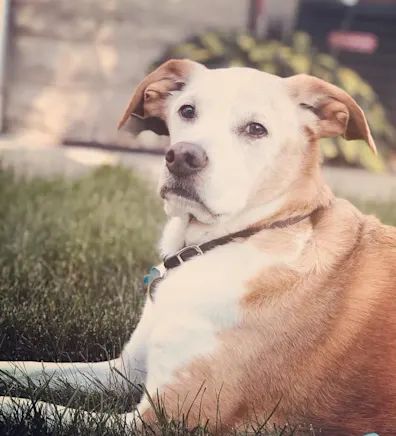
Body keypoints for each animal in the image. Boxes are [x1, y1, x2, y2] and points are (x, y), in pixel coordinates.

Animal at [0, 58, 396, 436]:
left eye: (256, 129)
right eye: (187, 110)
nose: (182, 157)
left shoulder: (166, 418)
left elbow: (31, 406)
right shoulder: (123, 371)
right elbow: (24, 368)